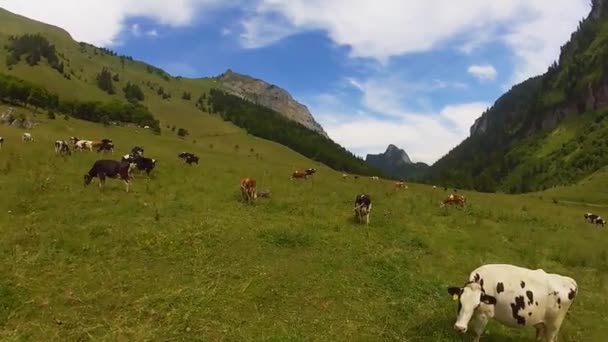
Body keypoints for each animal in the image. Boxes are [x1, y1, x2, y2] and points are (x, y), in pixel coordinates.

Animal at [446, 264, 580, 342]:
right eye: (460, 302)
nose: (459, 327)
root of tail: (569, 280)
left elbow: (477, 334)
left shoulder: (484, 314)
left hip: (554, 326)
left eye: (477, 305)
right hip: (543, 324)